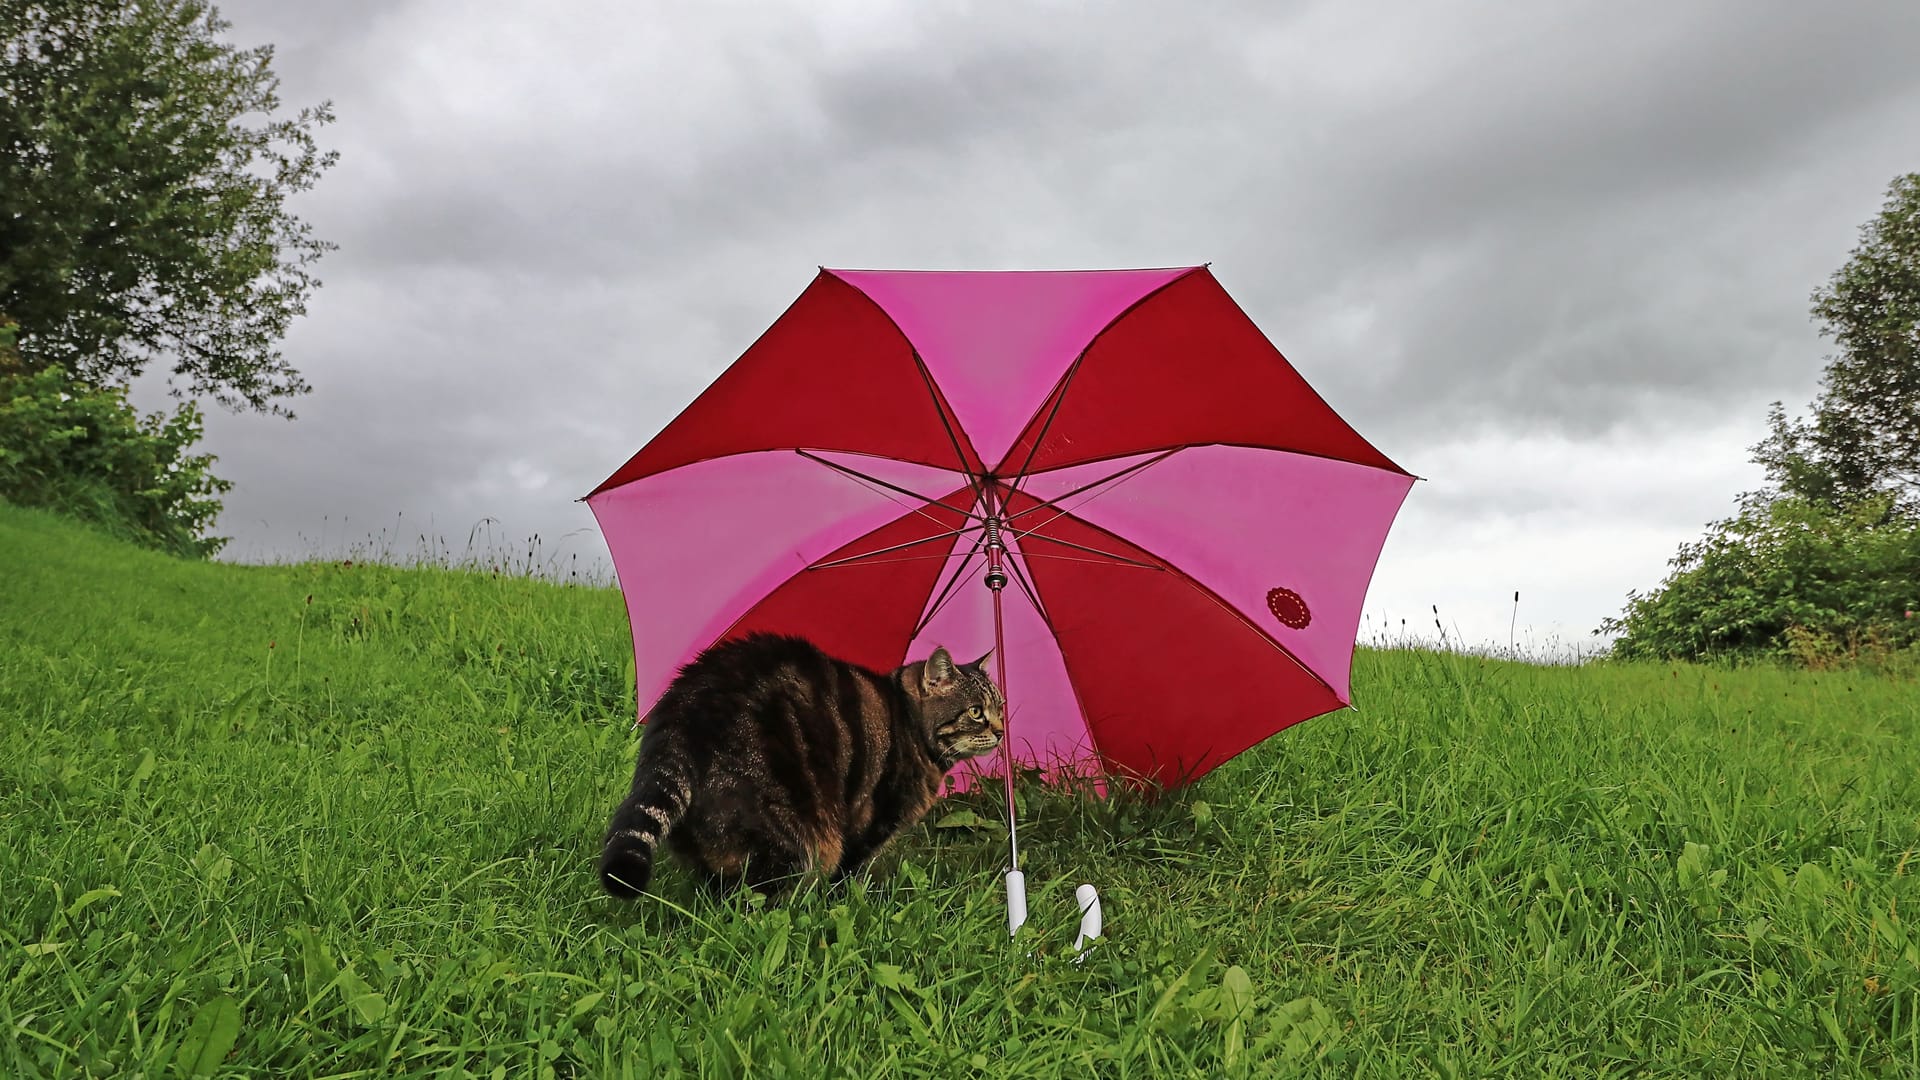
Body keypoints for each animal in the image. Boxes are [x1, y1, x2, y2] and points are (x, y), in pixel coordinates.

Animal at [599, 626, 1006, 895]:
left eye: (999, 706)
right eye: (976, 712)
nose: (1002, 730)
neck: (909, 722)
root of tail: (685, 710)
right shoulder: (869, 823)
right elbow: (848, 871)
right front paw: (845, 902)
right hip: (789, 829)